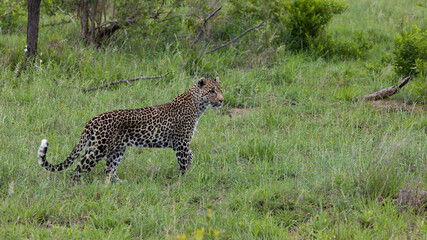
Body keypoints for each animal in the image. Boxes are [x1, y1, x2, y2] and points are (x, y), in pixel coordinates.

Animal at [37, 77, 224, 182]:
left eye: (221, 90)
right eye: (212, 91)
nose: (222, 100)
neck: (198, 105)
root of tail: (94, 118)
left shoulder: (181, 143)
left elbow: (191, 156)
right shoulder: (181, 143)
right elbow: (184, 162)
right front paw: (182, 182)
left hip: (114, 149)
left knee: (109, 169)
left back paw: (118, 184)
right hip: (98, 149)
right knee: (78, 169)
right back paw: (75, 186)